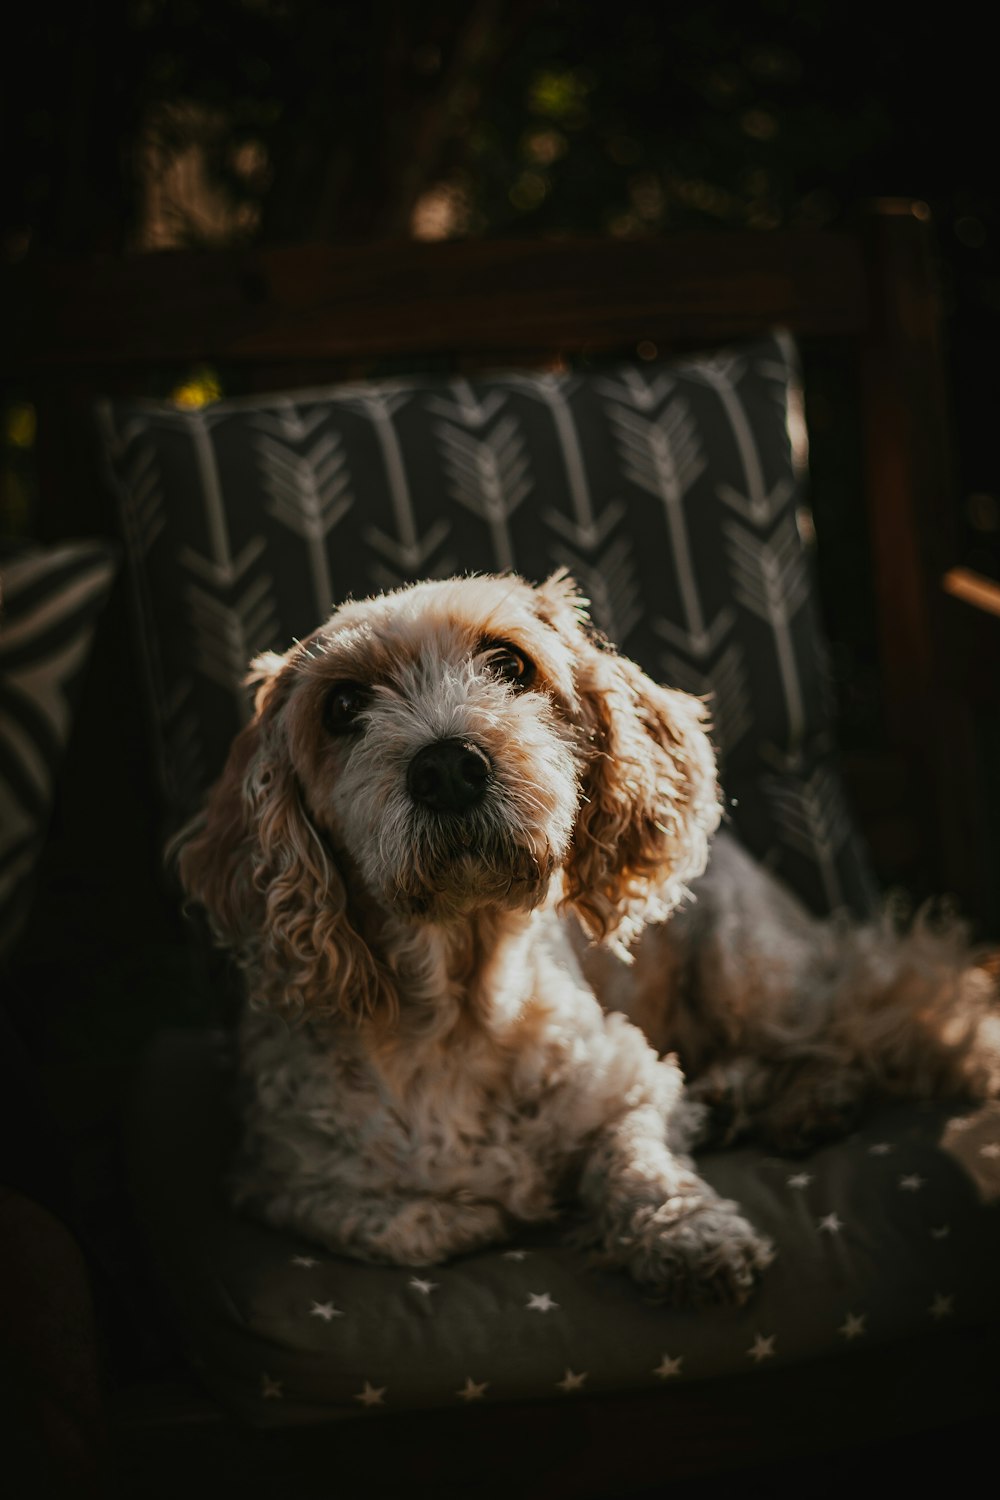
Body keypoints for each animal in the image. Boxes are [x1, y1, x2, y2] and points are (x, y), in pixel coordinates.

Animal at [177, 567, 1000, 1308]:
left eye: (510, 663)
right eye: (343, 705)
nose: (448, 766)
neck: (458, 1011)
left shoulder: (634, 1083)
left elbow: (638, 1162)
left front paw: (690, 1235)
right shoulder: (271, 1179)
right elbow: (402, 1226)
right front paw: (477, 1210)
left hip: (756, 977)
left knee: (878, 1018)